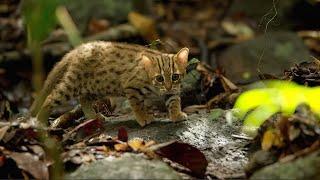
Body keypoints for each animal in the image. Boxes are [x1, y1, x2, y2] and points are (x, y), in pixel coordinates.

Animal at [30, 41, 189, 127]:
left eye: (175, 76)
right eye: (159, 78)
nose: (168, 86)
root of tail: (79, 49)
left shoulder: (173, 91)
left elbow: (174, 101)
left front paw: (176, 115)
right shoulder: (131, 88)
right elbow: (137, 106)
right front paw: (143, 118)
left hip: (96, 87)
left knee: (83, 99)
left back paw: (93, 116)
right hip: (72, 85)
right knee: (50, 97)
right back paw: (40, 121)